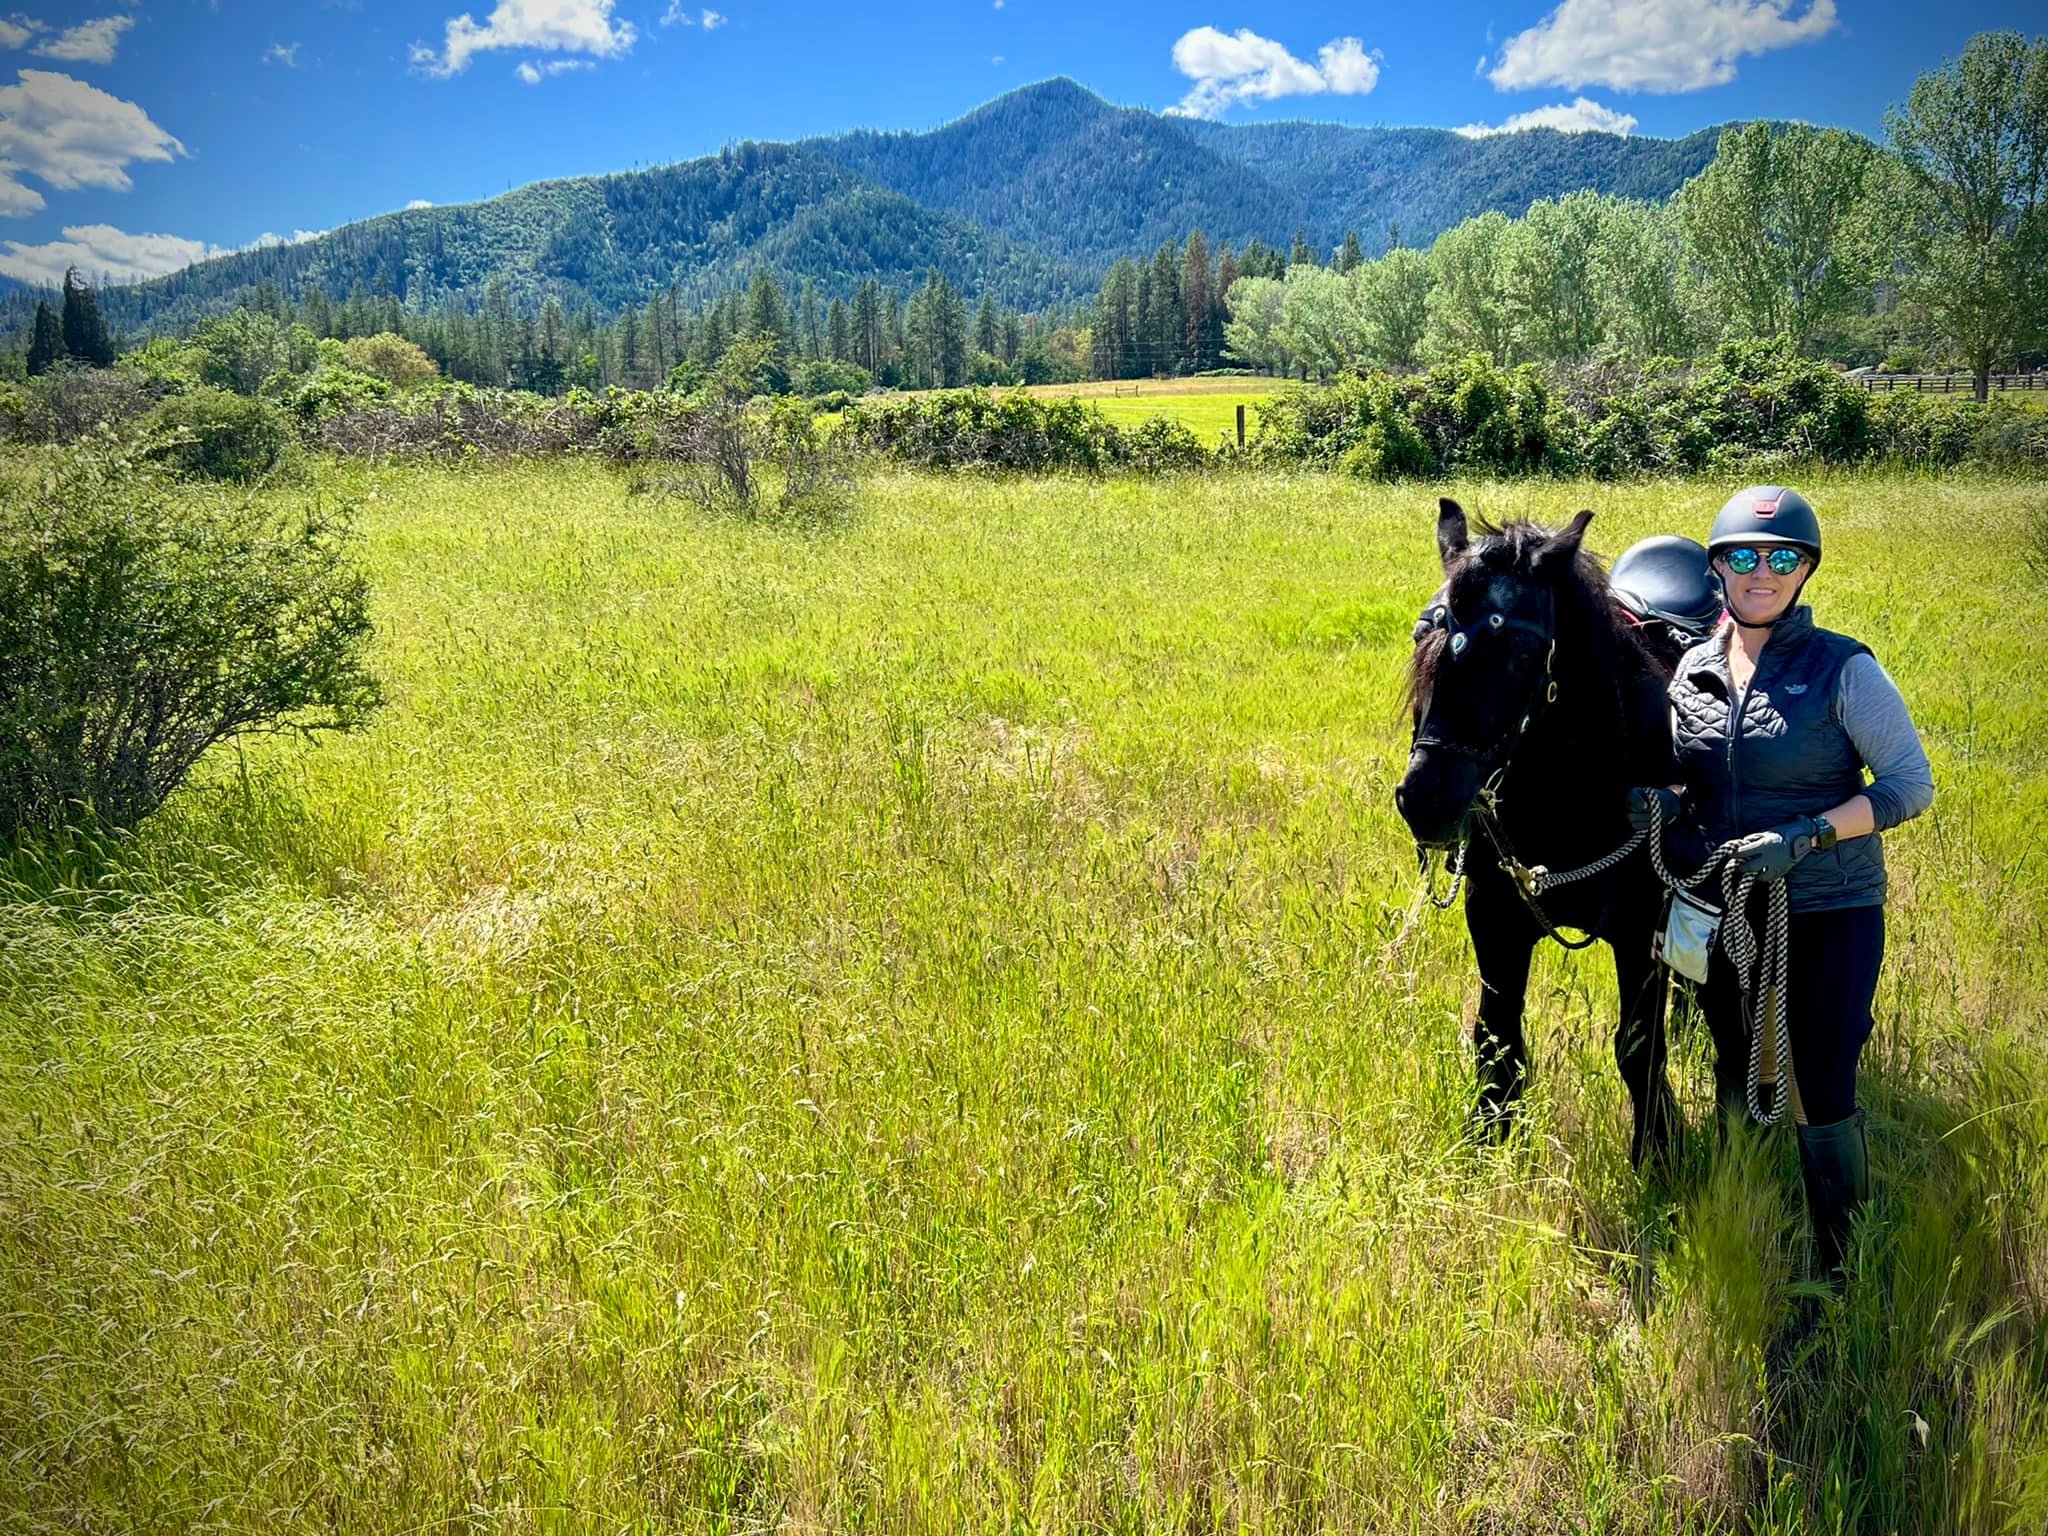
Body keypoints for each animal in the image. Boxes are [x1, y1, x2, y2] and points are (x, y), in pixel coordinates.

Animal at [1400, 501, 1687, 1163]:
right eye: (1425, 637)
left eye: (1522, 656)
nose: (1425, 800)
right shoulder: (1494, 916)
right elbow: (1496, 1044)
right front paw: (1484, 1149)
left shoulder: (1642, 931)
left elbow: (1640, 1050)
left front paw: (1658, 1152)